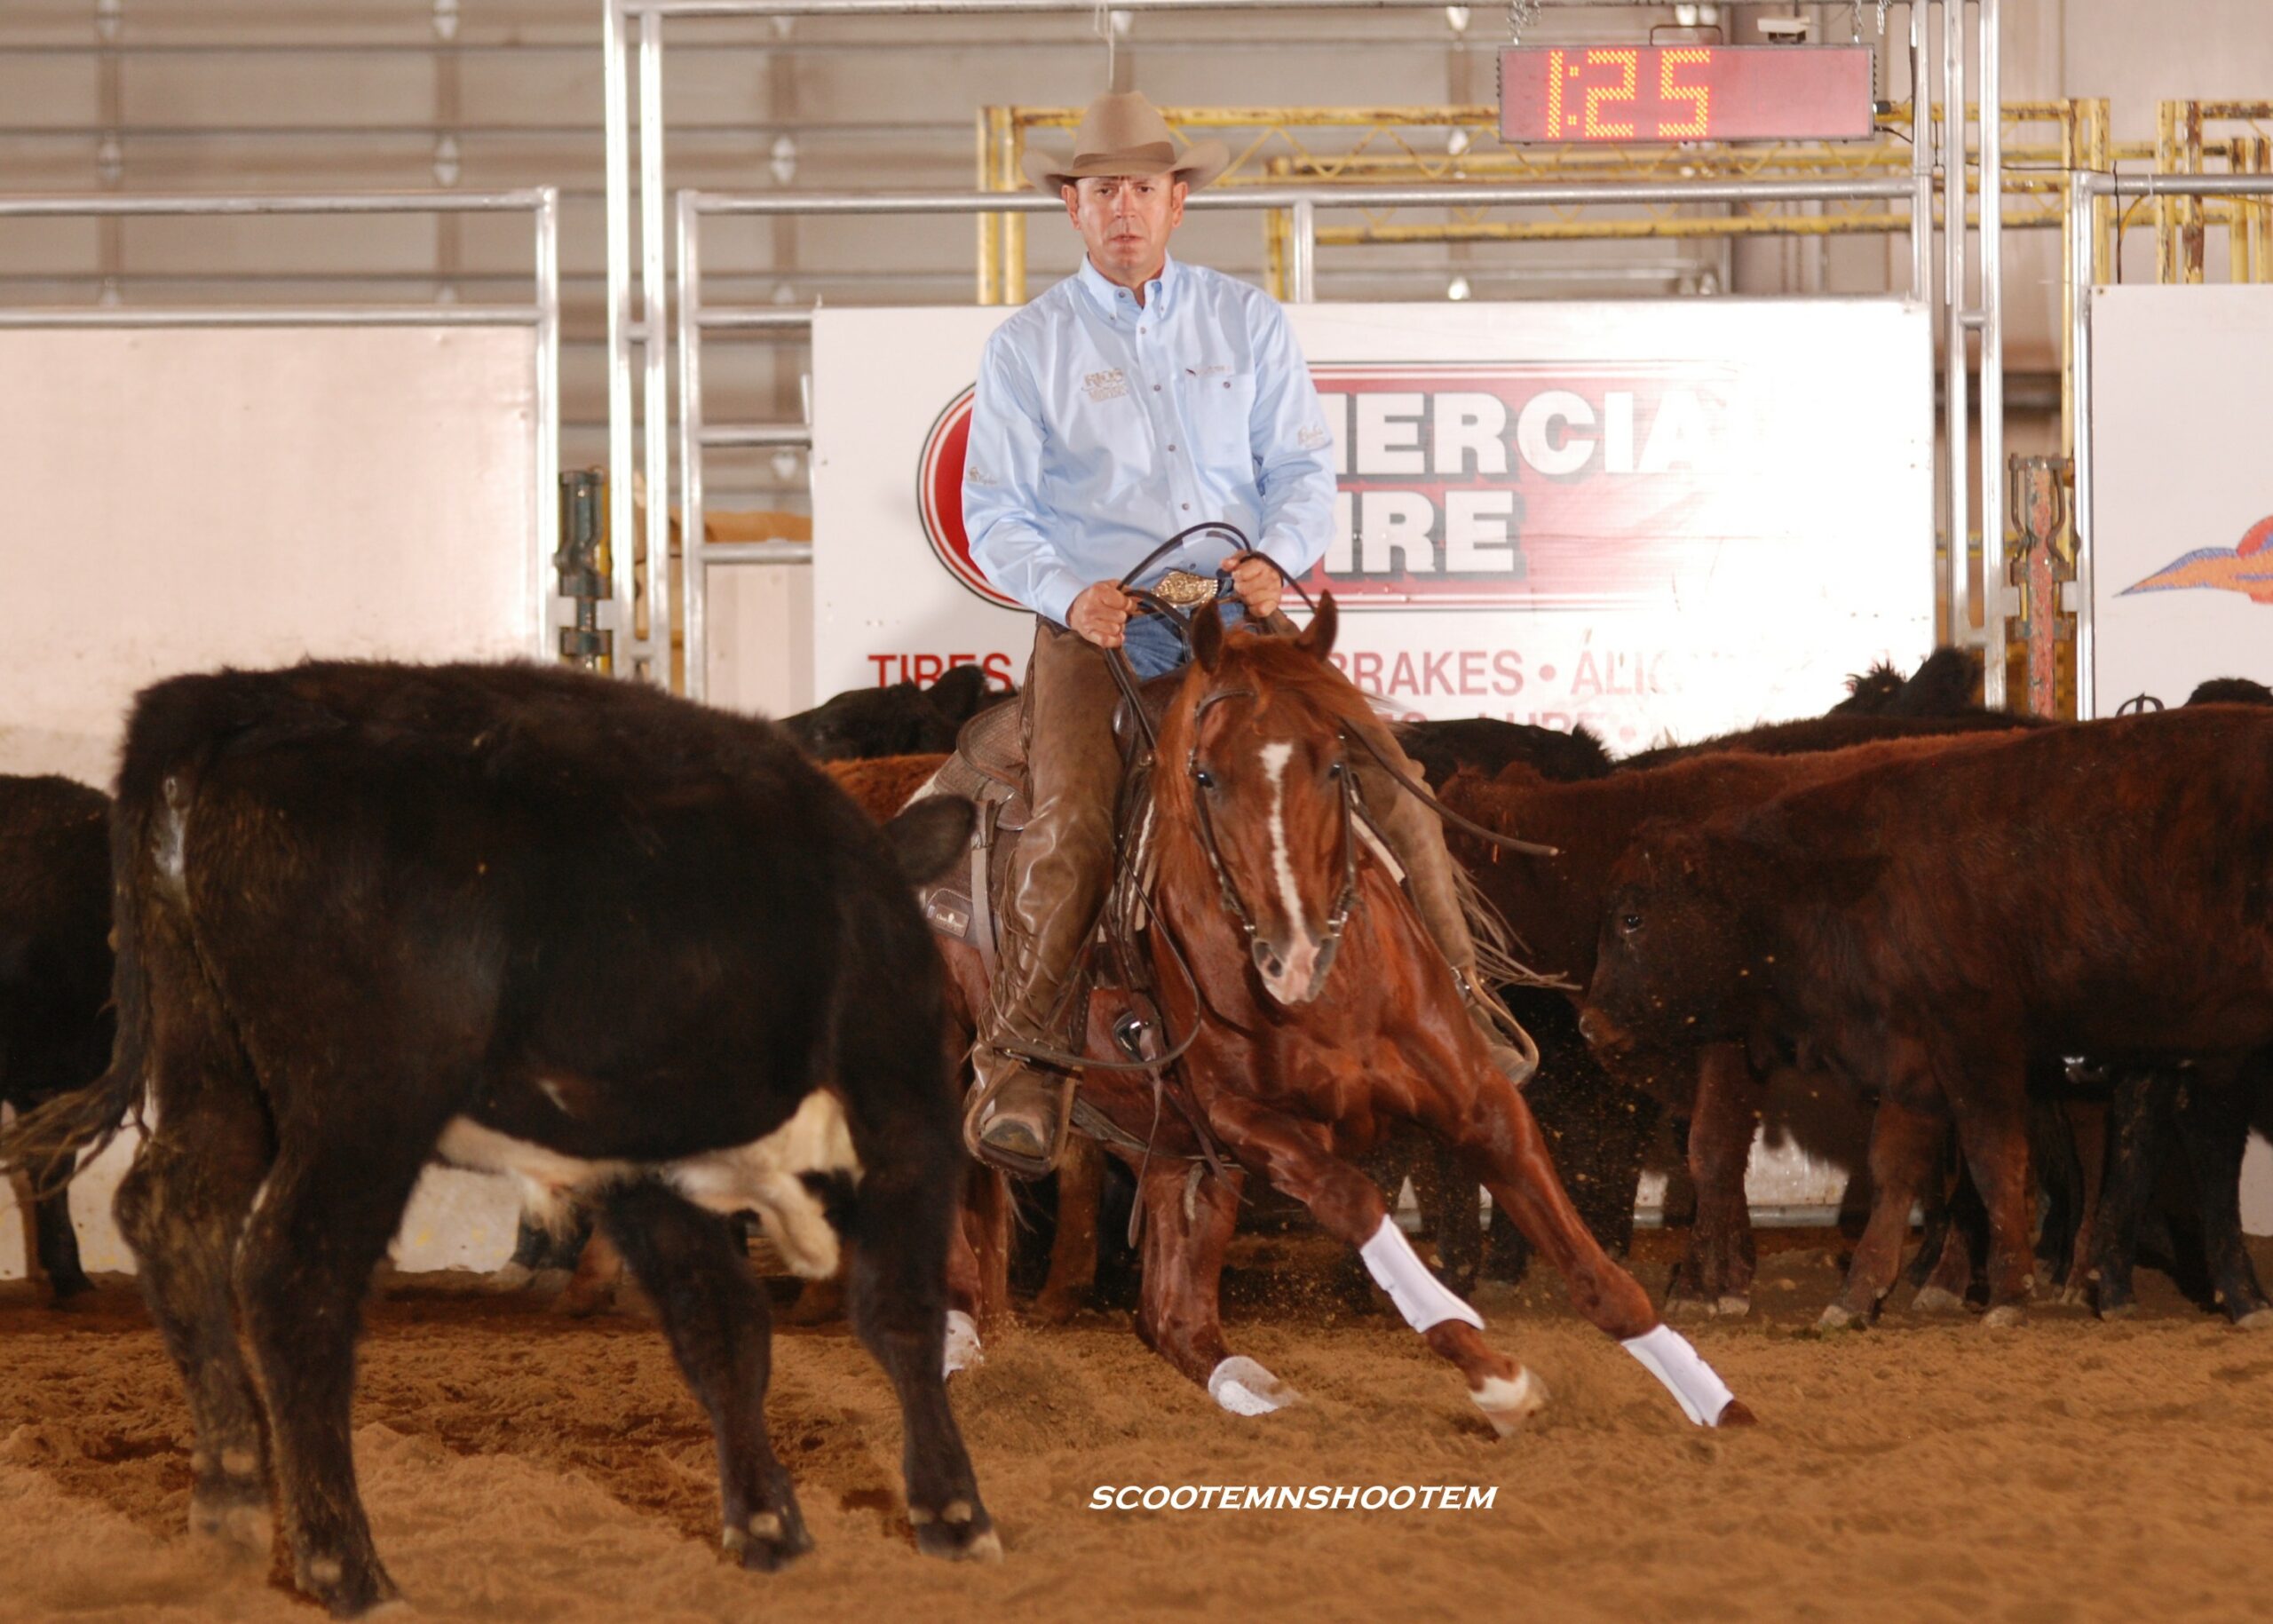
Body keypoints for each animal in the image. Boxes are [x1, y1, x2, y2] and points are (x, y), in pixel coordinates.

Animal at [2, 654, 995, 1610]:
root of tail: (239, 700)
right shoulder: (902, 1114)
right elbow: (898, 1309)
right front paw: (952, 1510)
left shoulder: (644, 1163)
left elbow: (723, 1325)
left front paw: (764, 1522)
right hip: (368, 1095)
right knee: (292, 1269)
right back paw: (344, 1563)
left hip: (217, 1062)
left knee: (173, 1213)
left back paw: (232, 1499)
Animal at [927, 596, 1754, 1428]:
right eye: (1205, 775)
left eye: (1334, 763)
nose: (1290, 955)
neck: (1334, 999)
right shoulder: (1251, 1124)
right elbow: (1357, 1202)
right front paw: (1499, 1379)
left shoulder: (1479, 1098)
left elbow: (1596, 1274)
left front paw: (1720, 1405)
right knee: (965, 1249)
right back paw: (959, 1342)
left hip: (1173, 1146)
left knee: (1172, 1315)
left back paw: (1259, 1390)